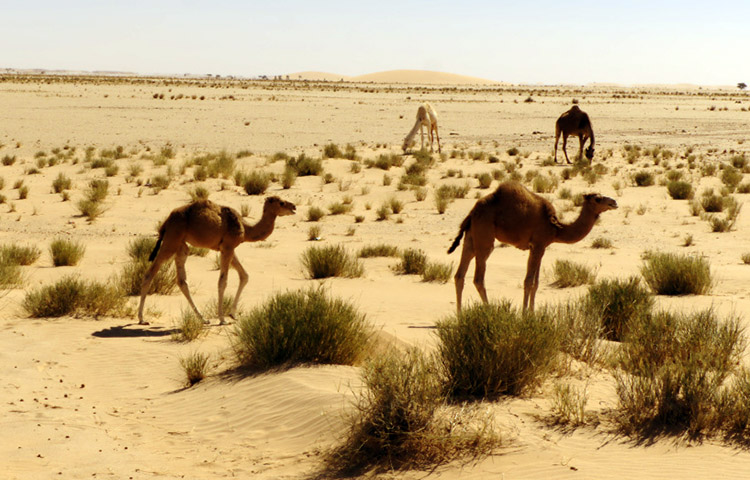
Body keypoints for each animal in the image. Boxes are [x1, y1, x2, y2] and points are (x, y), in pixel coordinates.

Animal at [138, 196, 296, 326]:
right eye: (281, 202)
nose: (294, 207)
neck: (246, 228)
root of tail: (166, 221)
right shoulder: (228, 247)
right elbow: (223, 282)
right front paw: (222, 319)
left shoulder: (227, 248)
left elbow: (244, 275)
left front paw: (233, 314)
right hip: (171, 240)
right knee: (149, 274)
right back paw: (141, 318)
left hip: (181, 245)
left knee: (182, 280)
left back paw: (203, 318)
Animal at [450, 182, 620, 314]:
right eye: (598, 199)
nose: (614, 202)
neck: (556, 228)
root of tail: (472, 212)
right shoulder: (538, 245)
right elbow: (528, 281)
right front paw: (525, 315)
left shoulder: (539, 247)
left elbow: (536, 283)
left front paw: (532, 313)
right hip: (485, 238)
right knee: (478, 278)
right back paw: (490, 312)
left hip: (471, 236)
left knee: (460, 275)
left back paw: (460, 315)